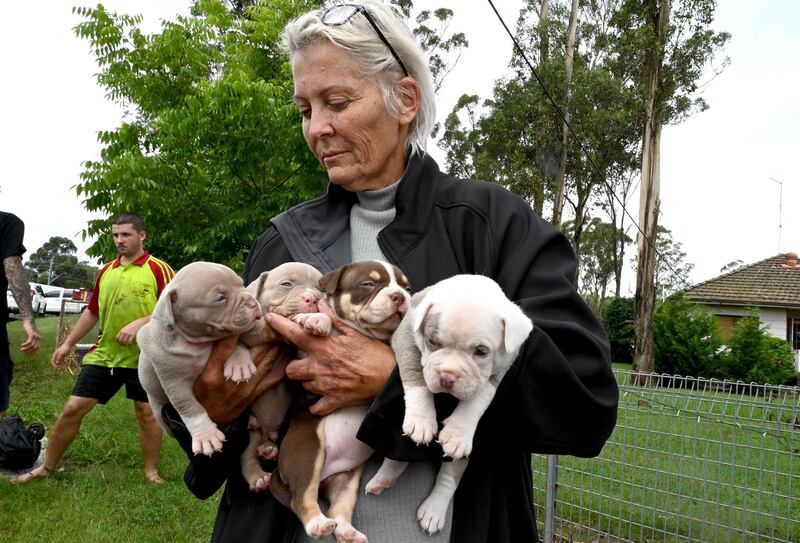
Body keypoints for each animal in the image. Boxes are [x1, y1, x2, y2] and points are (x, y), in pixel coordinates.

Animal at [268, 260, 410, 543]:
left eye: (407, 287)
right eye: (368, 283)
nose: (400, 296)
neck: (367, 332)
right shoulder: (304, 356)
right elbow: (325, 317)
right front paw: (314, 319)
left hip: (347, 480)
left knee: (338, 509)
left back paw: (347, 532)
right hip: (309, 452)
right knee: (301, 498)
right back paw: (318, 523)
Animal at [368, 276, 532, 536]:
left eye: (481, 351)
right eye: (432, 342)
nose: (447, 376)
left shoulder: (500, 368)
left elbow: (478, 399)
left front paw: (457, 433)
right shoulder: (406, 335)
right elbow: (416, 376)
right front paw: (421, 421)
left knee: (450, 473)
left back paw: (433, 509)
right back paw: (384, 477)